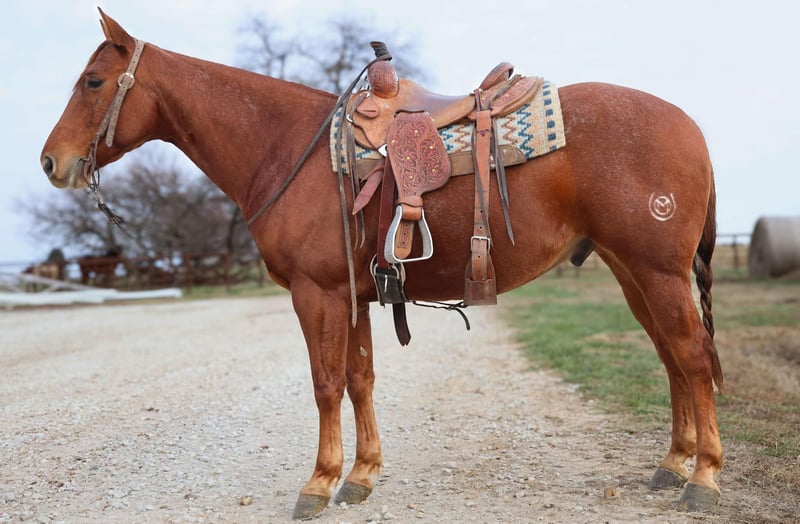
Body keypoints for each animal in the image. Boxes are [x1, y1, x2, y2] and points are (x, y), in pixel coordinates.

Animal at [41, 9, 723, 519]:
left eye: (94, 82)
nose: (52, 162)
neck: (287, 147)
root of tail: (690, 125)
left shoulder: (316, 293)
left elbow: (324, 383)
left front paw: (318, 483)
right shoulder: (356, 294)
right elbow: (360, 379)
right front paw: (362, 476)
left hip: (656, 272)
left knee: (691, 357)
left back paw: (704, 479)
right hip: (632, 272)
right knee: (671, 357)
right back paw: (672, 464)